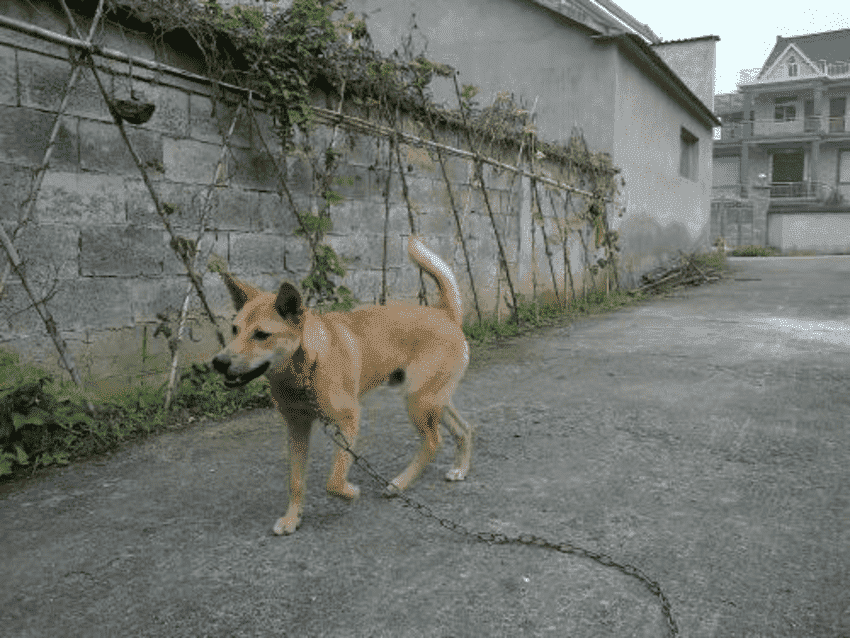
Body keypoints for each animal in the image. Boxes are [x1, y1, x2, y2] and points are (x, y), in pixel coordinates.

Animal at [210, 235, 470, 536]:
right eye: (235, 330)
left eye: (261, 335)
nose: (218, 362)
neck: (306, 368)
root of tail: (445, 313)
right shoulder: (296, 429)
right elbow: (295, 480)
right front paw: (292, 518)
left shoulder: (348, 421)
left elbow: (333, 481)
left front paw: (349, 492)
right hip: (432, 399)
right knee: (464, 429)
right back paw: (460, 469)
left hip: (418, 401)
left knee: (432, 441)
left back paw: (399, 484)